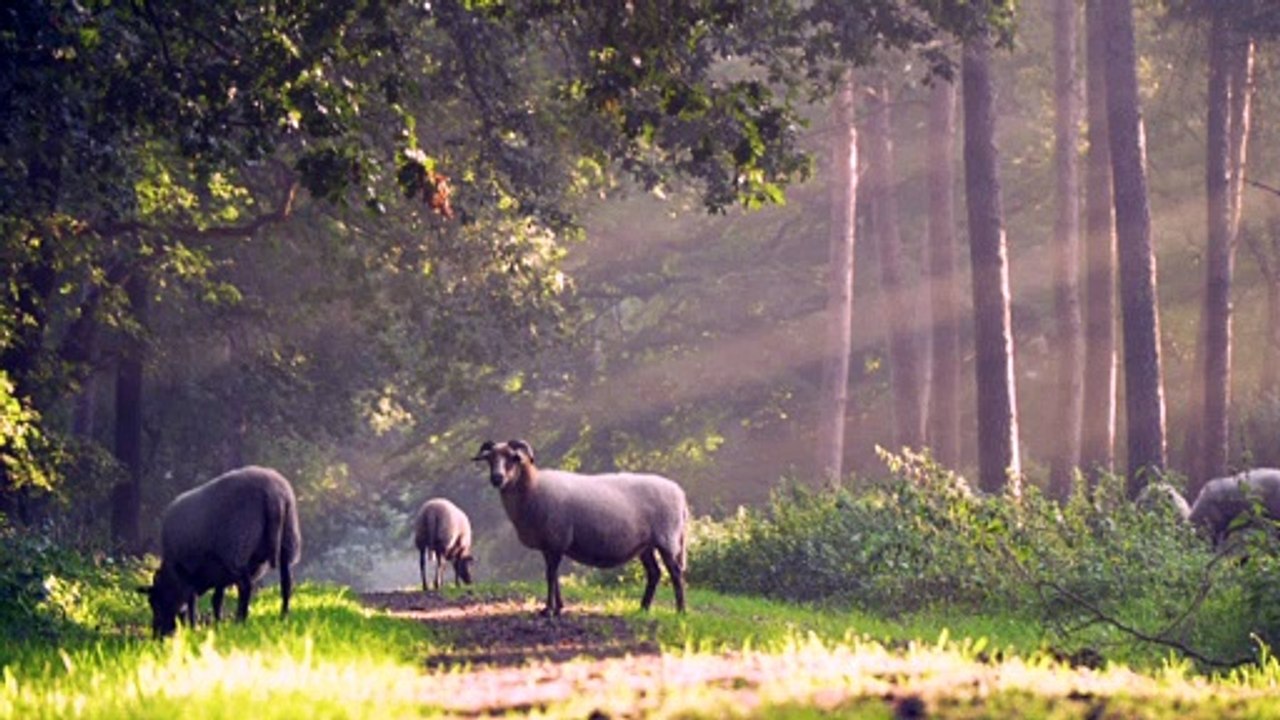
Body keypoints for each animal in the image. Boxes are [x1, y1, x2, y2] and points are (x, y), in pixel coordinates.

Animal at [138, 466, 301, 637]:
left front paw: (192, 627)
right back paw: (283, 616)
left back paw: (240, 621)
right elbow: (216, 599)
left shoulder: (189, 573)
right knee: (286, 583)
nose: (157, 635)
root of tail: (274, 494)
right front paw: (217, 624)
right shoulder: (219, 573)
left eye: (155, 601)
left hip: (238, 547)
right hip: (288, 540)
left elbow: (192, 601)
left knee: (246, 587)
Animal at [472, 439, 688, 616]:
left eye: (513, 458)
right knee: (655, 573)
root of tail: (680, 494)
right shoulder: (549, 545)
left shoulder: (556, 539)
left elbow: (550, 575)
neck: (532, 487)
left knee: (676, 573)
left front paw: (549, 610)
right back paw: (643, 608)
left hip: (667, 538)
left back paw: (681, 611)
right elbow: (554, 575)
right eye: (489, 459)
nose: (497, 478)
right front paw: (558, 607)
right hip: (646, 545)